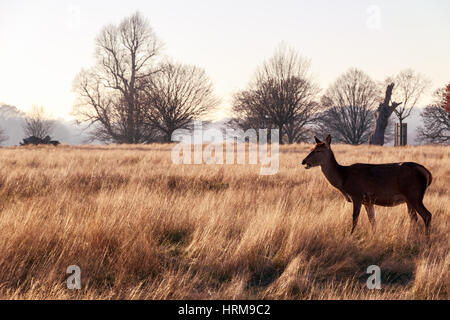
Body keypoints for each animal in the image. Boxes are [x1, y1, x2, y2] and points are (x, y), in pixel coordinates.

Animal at [302, 135, 432, 238]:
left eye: (318, 151)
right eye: (311, 148)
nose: (303, 161)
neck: (344, 179)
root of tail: (426, 173)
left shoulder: (357, 194)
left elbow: (355, 218)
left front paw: (350, 235)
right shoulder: (368, 201)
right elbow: (372, 221)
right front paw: (374, 236)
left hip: (414, 194)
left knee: (427, 215)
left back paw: (426, 239)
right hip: (409, 199)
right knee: (414, 218)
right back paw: (412, 236)